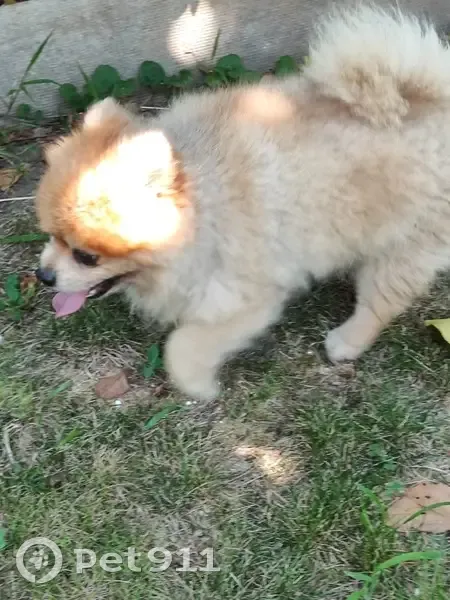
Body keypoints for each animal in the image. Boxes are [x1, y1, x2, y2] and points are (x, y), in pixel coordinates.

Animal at [35, 6, 450, 400]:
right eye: (51, 236)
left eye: (86, 256)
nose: (43, 275)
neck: (204, 205)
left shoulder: (248, 297)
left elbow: (184, 343)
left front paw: (196, 385)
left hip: (408, 243)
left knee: (382, 300)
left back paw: (347, 341)